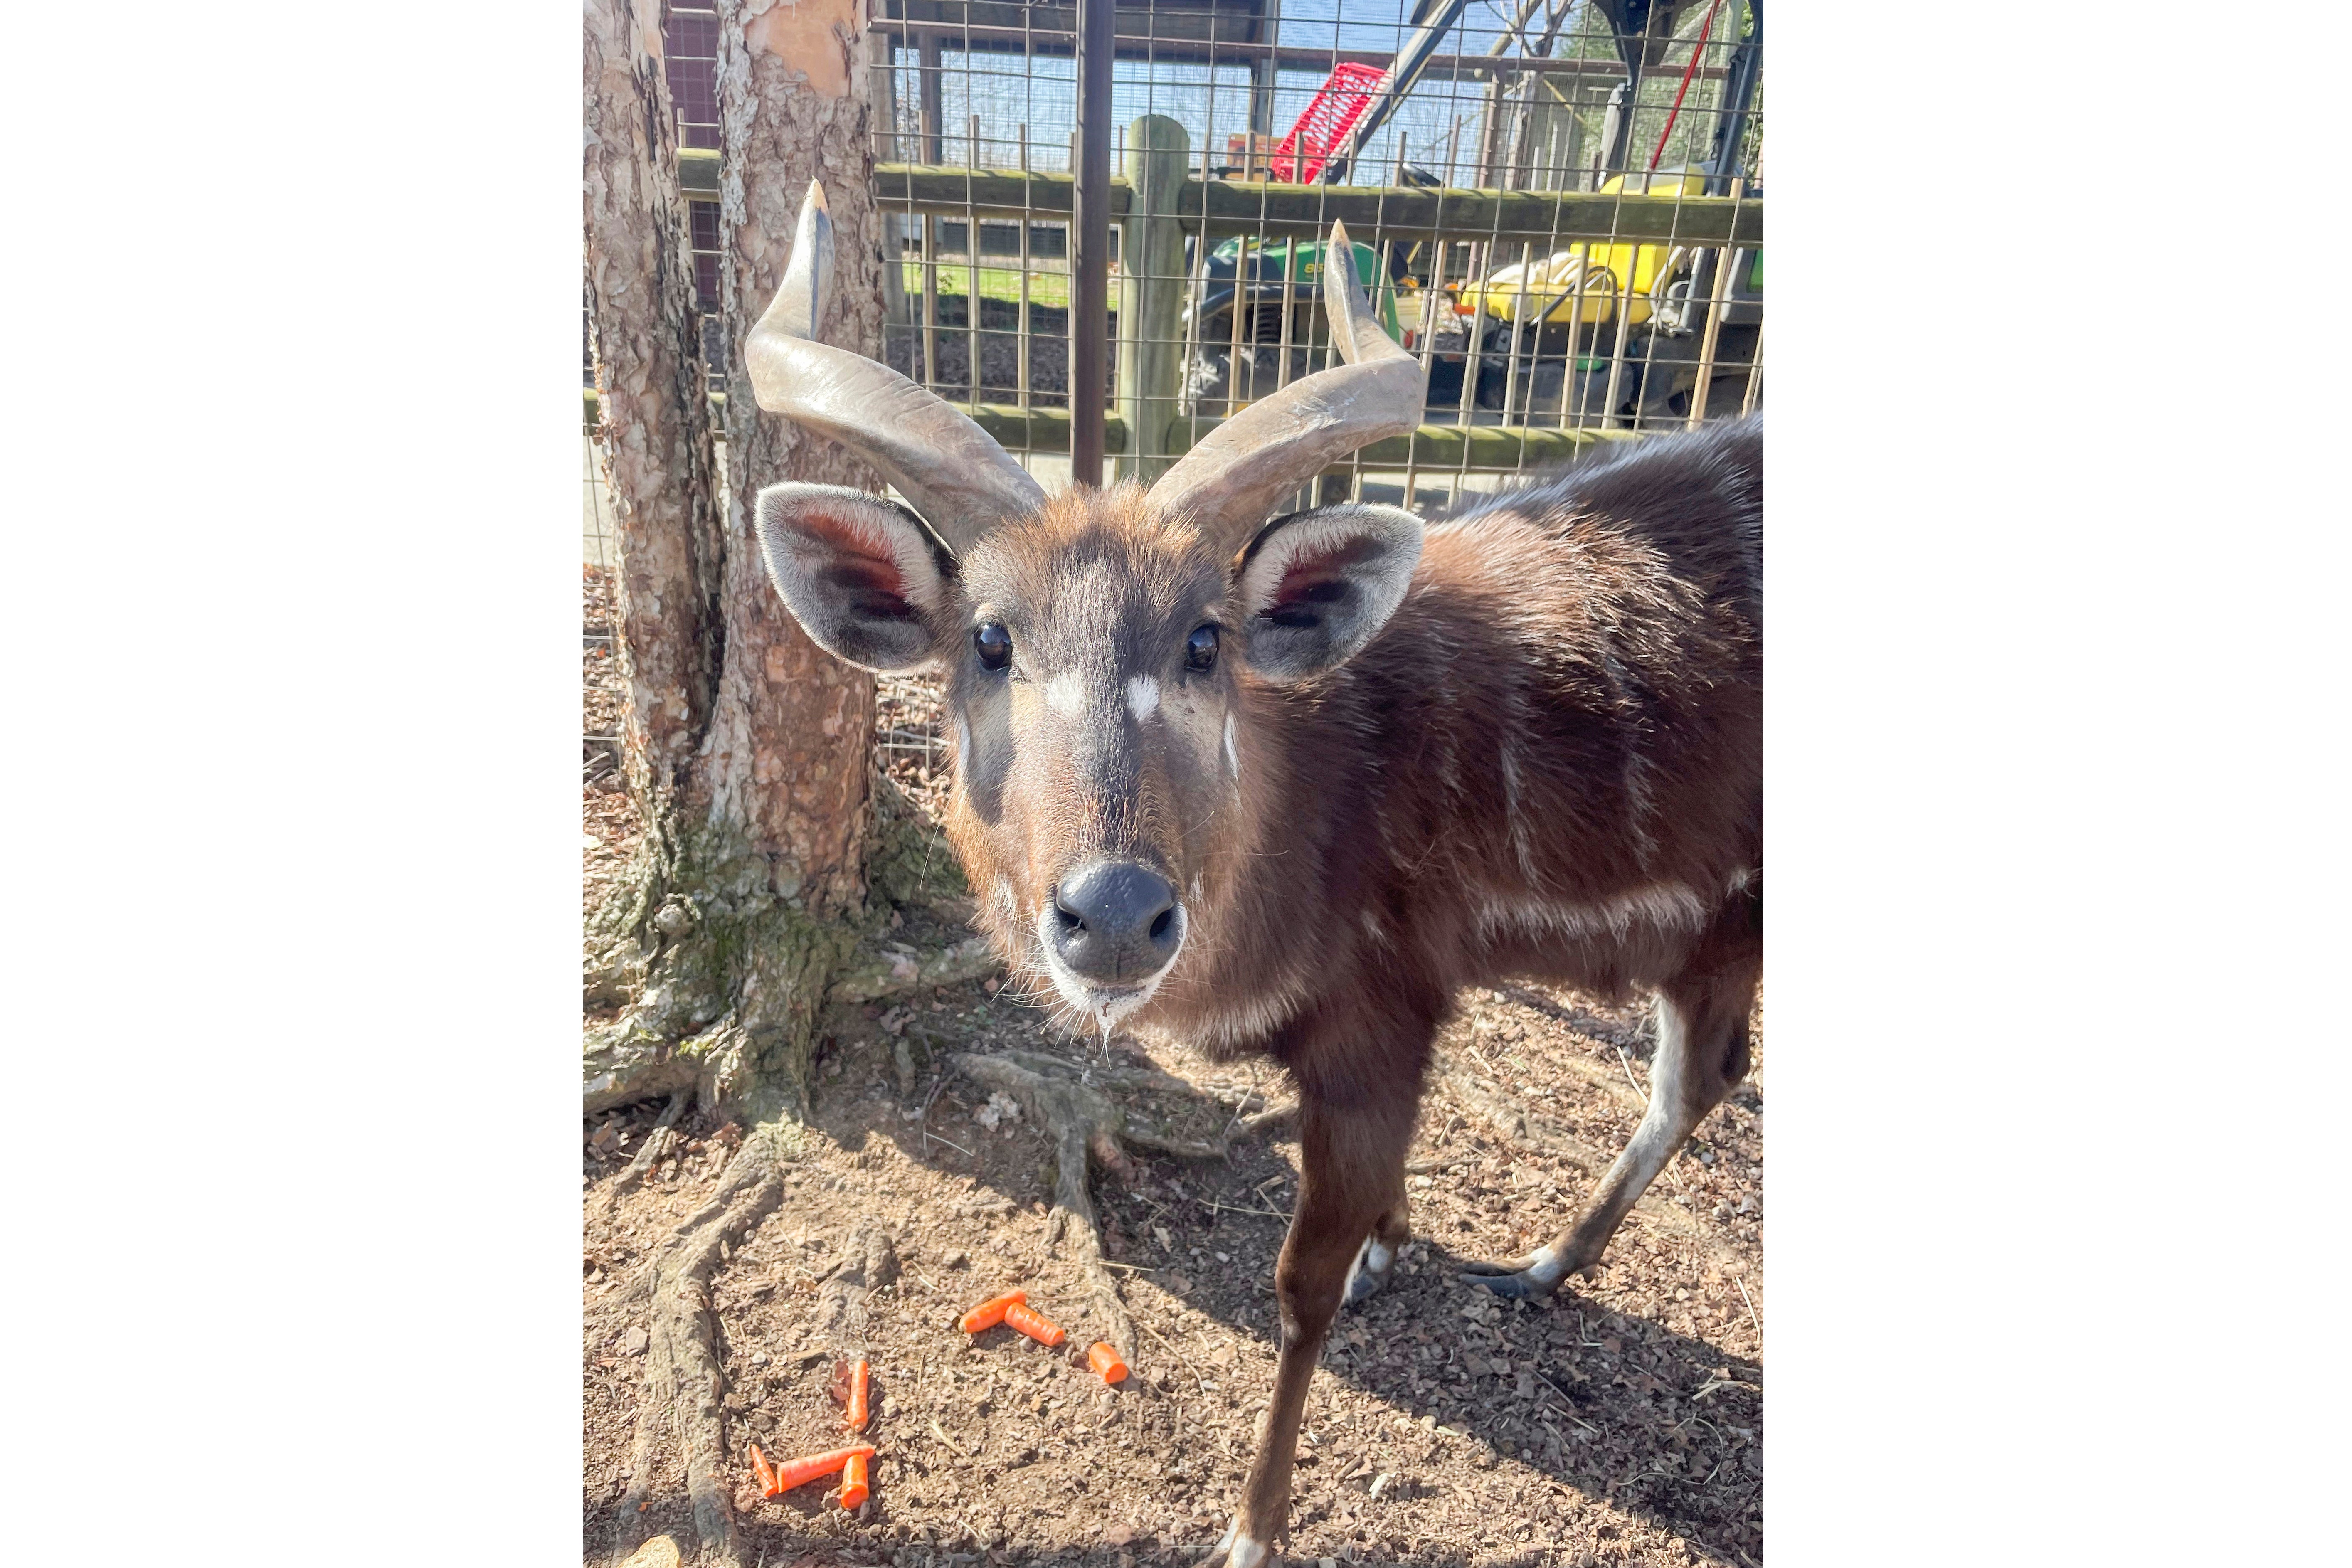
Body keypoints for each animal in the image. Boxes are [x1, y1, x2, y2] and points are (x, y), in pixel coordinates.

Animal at [748, 184, 1761, 1567]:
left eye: (1204, 639)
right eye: (989, 639)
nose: (1117, 917)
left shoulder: (1375, 1020)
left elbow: (1299, 1288)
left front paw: (1254, 1524)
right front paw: (1395, 1249)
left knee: (1699, 1076)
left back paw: (1544, 1260)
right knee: (1705, 1074)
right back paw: (1546, 1262)